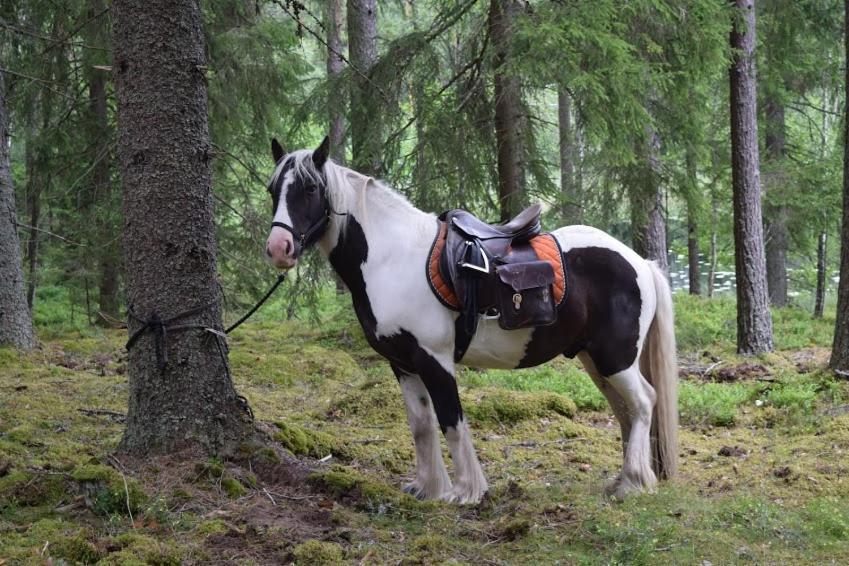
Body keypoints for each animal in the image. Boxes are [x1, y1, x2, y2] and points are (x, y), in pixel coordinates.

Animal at [262, 138, 680, 506]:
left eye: (310, 188)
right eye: (272, 189)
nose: (279, 249)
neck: (391, 257)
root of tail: (640, 261)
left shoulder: (435, 358)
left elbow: (451, 420)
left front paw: (466, 491)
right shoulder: (402, 363)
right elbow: (421, 425)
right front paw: (427, 488)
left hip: (615, 357)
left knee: (644, 402)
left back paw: (633, 483)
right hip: (595, 359)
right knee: (625, 410)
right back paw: (624, 479)